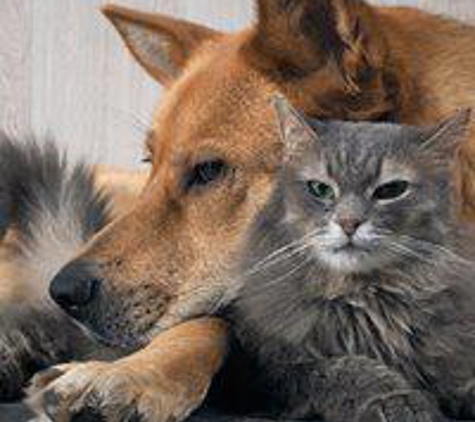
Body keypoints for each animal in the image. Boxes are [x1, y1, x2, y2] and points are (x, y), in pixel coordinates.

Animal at [226, 97, 475, 422]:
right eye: (320, 189)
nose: (348, 223)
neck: (364, 299)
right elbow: (348, 369)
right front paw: (400, 403)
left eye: (391, 190)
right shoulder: (275, 367)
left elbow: (459, 377)